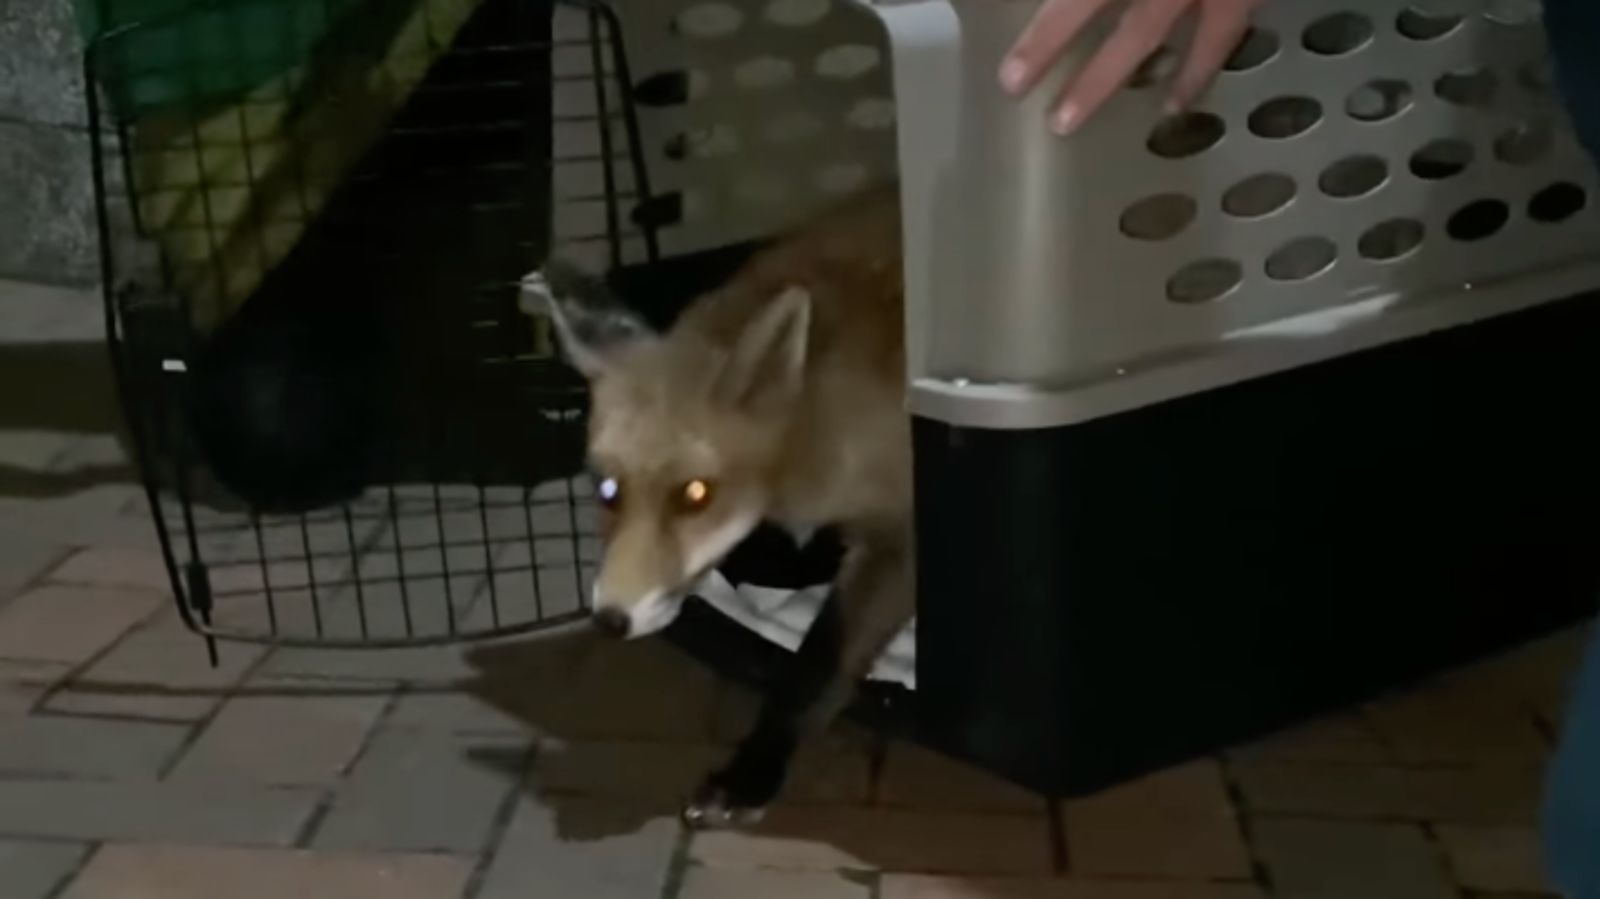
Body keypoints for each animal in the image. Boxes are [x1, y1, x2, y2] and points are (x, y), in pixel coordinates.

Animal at [526, 184, 915, 827]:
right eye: (607, 491)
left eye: (695, 494)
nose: (610, 620)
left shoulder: (901, 532)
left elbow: (813, 667)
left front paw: (749, 777)